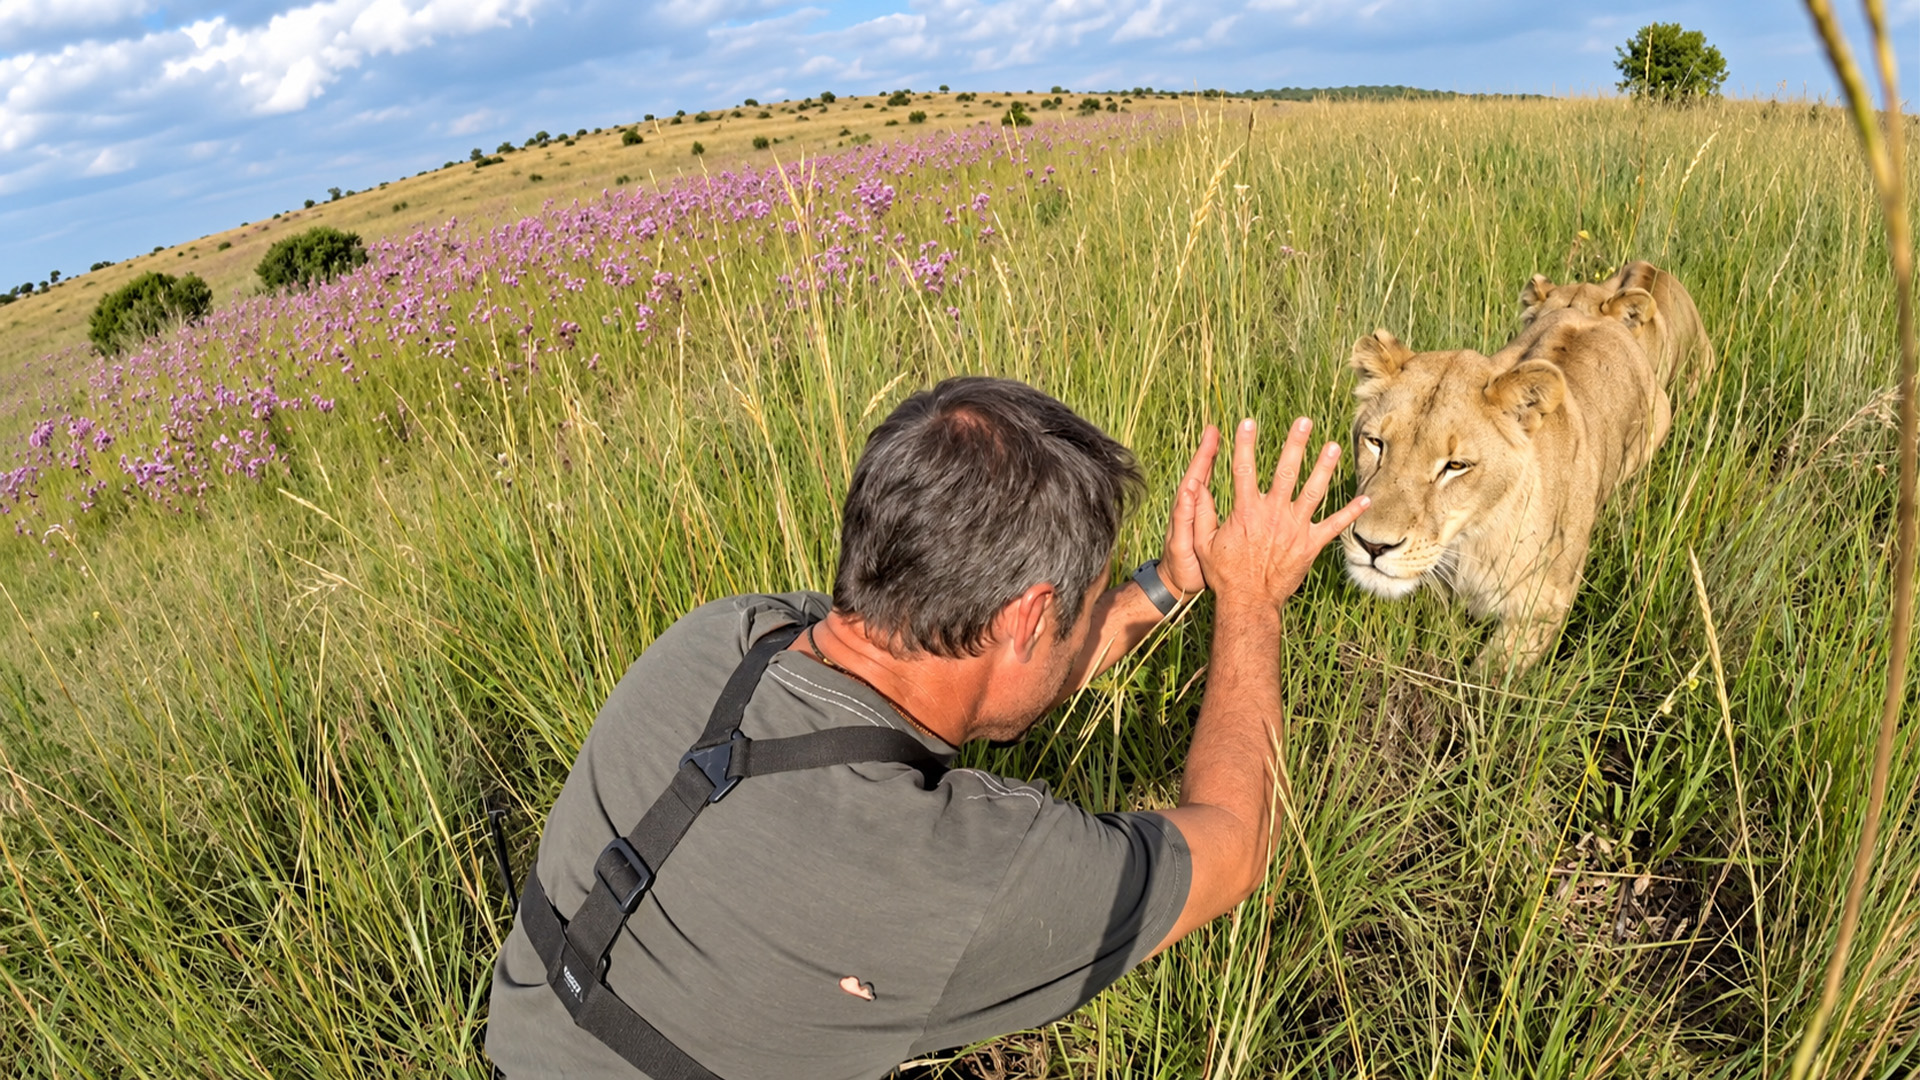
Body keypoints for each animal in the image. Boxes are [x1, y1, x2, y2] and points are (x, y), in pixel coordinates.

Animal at [1339, 305, 1670, 672]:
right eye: (1375, 443)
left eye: (1456, 466)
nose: (1372, 545)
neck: (1469, 543)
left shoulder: (1542, 611)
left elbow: (1487, 679)